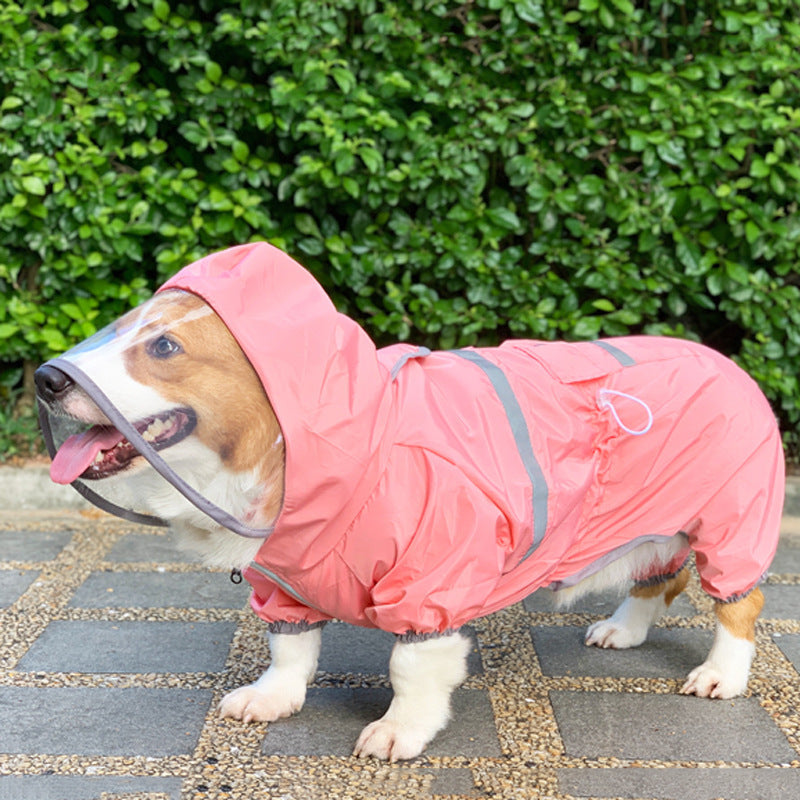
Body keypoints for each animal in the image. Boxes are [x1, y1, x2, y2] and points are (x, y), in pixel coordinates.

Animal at [34, 244, 784, 764]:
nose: (44, 378)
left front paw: (398, 733)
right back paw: (623, 631)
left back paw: (720, 675)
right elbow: (290, 651)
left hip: (731, 523)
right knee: (657, 578)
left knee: (737, 602)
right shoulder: (284, 585)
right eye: (118, 328)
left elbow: (409, 668)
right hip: (649, 524)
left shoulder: (432, 589)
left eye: (164, 346)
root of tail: (728, 363)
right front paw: (273, 699)